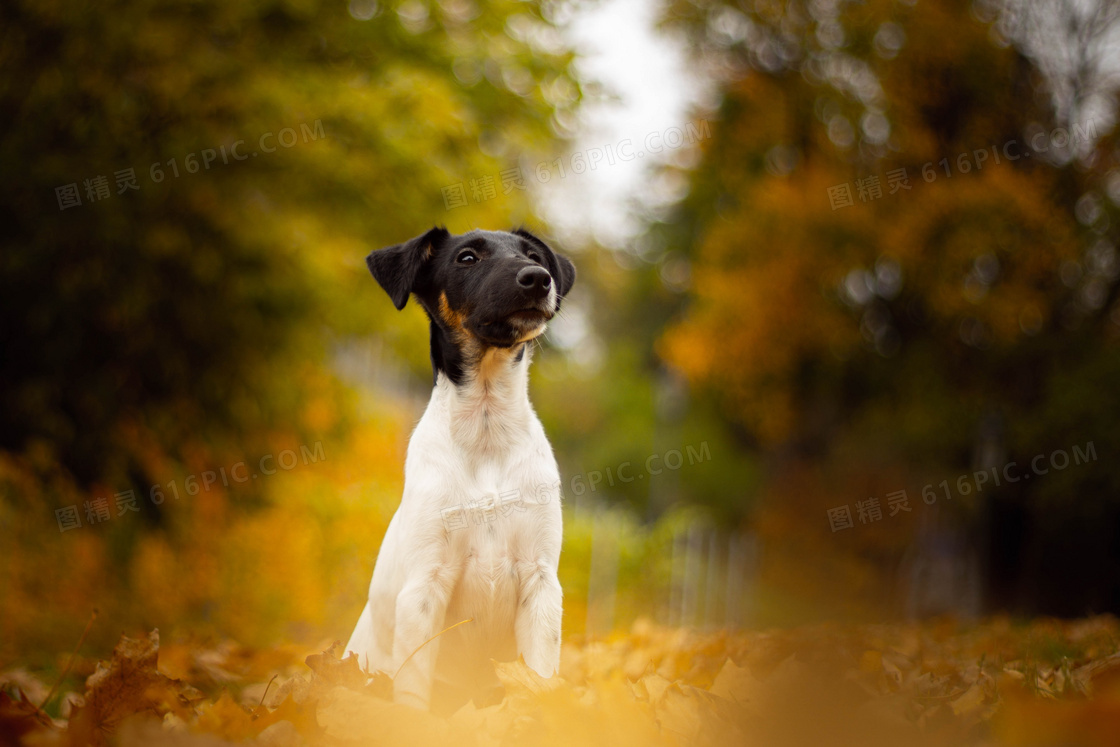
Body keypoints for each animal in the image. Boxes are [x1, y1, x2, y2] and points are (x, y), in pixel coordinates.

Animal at [344, 226, 577, 712]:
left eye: (532, 254)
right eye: (467, 257)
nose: (538, 278)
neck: (486, 433)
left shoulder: (541, 583)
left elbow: (539, 675)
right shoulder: (425, 587)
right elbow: (413, 690)